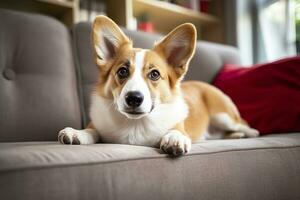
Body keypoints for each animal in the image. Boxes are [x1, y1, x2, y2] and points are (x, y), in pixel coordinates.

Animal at [58, 15, 258, 156]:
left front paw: (175, 139)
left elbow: (176, 131)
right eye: (122, 71)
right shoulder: (98, 125)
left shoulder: (179, 125)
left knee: (244, 125)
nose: (134, 98)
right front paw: (77, 133)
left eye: (154, 74)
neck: (135, 124)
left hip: (223, 116)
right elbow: (92, 130)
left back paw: (248, 133)